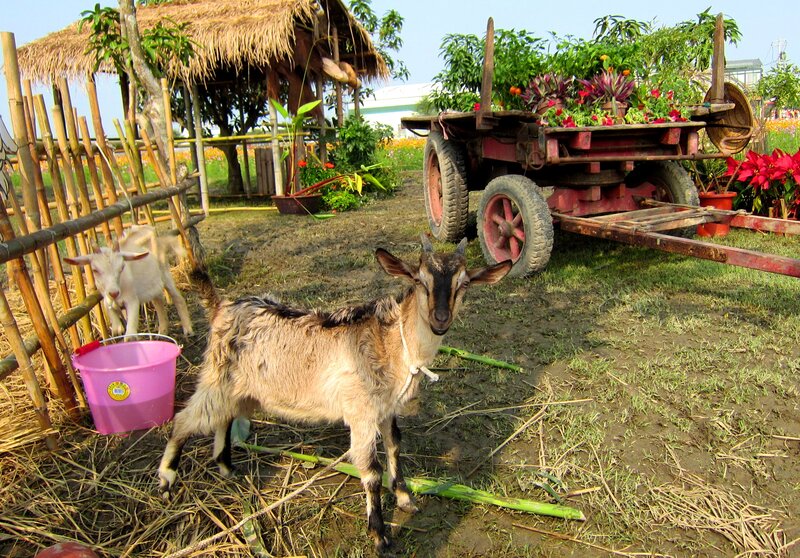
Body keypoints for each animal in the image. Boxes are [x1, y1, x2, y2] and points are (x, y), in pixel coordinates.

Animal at [64, 225, 193, 338]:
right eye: (95, 270)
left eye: (122, 267)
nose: (114, 293)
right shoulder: (107, 298)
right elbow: (111, 313)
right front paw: (117, 329)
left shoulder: (132, 301)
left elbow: (130, 335)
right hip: (153, 283)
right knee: (158, 301)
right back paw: (163, 331)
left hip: (165, 272)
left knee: (177, 298)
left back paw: (188, 330)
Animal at [157, 235, 511, 551]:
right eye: (420, 281)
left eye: (464, 284)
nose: (440, 319)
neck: (391, 344)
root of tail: (221, 307)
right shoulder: (361, 412)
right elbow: (371, 471)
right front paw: (380, 536)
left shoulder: (385, 409)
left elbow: (395, 446)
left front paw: (405, 498)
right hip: (216, 376)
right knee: (184, 419)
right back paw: (166, 478)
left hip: (240, 389)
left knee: (222, 417)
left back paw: (226, 466)